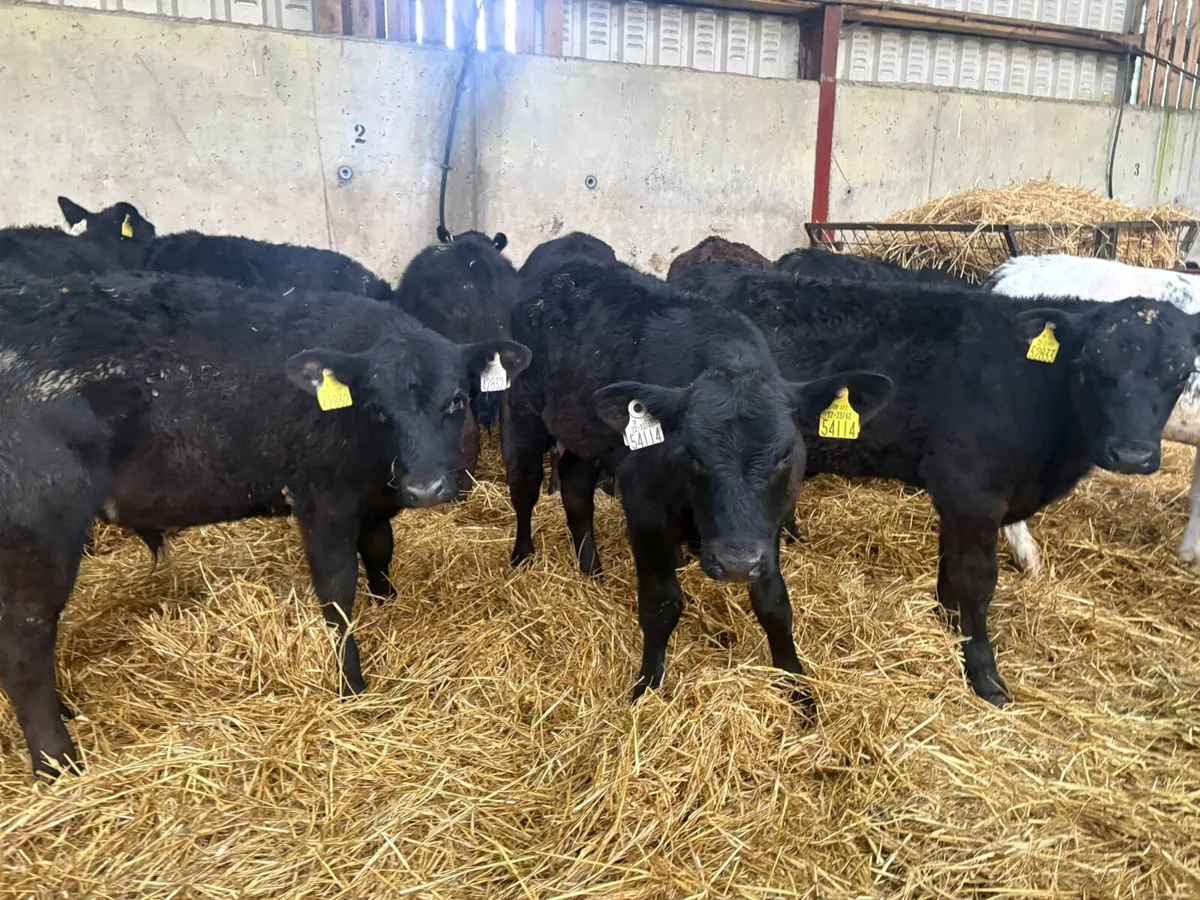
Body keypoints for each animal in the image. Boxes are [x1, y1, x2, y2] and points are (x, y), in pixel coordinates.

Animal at [0, 271, 529, 778]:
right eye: (379, 409)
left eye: (457, 401)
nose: (425, 488)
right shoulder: (323, 501)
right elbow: (337, 594)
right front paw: (351, 684)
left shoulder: (372, 500)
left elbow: (380, 549)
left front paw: (388, 600)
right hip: (39, 533)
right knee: (25, 645)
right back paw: (56, 761)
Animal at [504, 260, 892, 701]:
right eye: (692, 453)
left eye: (783, 454)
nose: (736, 563)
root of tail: (561, 269)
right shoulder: (644, 506)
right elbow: (662, 604)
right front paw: (646, 687)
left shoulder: (768, 525)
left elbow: (775, 604)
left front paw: (798, 688)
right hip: (524, 408)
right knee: (525, 484)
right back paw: (522, 556)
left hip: (587, 431)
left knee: (575, 485)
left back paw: (591, 570)